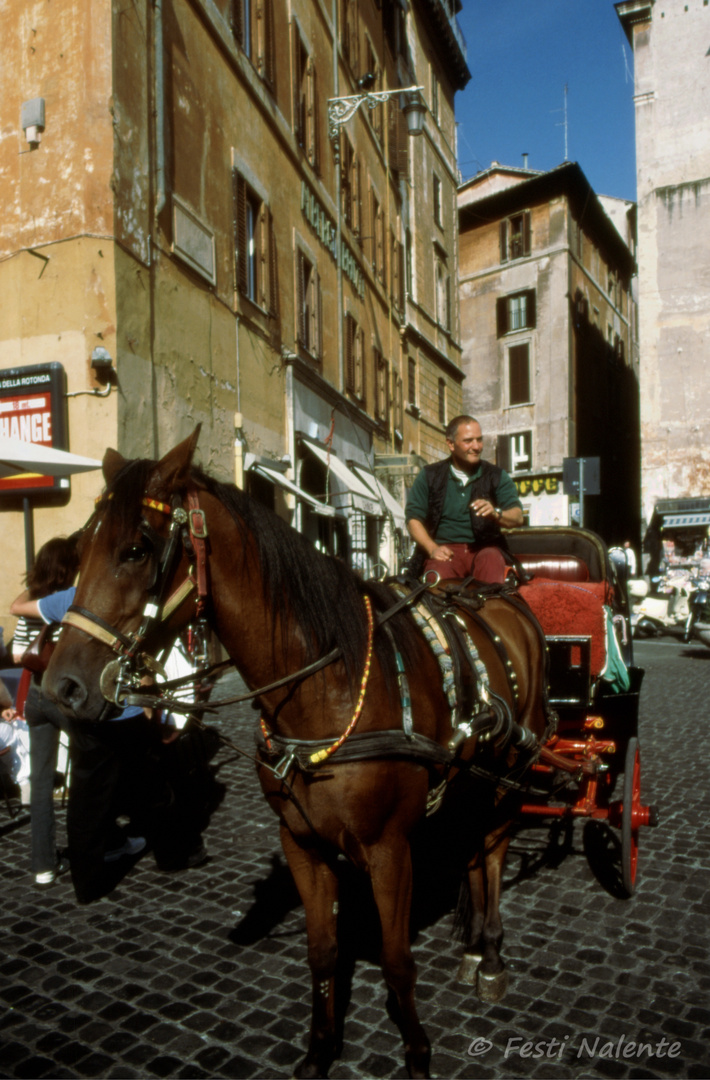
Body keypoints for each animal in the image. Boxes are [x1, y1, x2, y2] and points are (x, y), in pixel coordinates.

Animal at [44, 429, 551, 1080]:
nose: (62, 686)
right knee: (470, 845)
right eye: (81, 551)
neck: (323, 684)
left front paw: (416, 1051)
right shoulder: (302, 844)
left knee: (492, 847)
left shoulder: (390, 850)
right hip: (471, 775)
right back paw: (471, 948)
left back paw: (489, 953)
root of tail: (500, 598)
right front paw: (319, 1050)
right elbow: (322, 951)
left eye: (136, 549)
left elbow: (396, 960)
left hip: (512, 771)